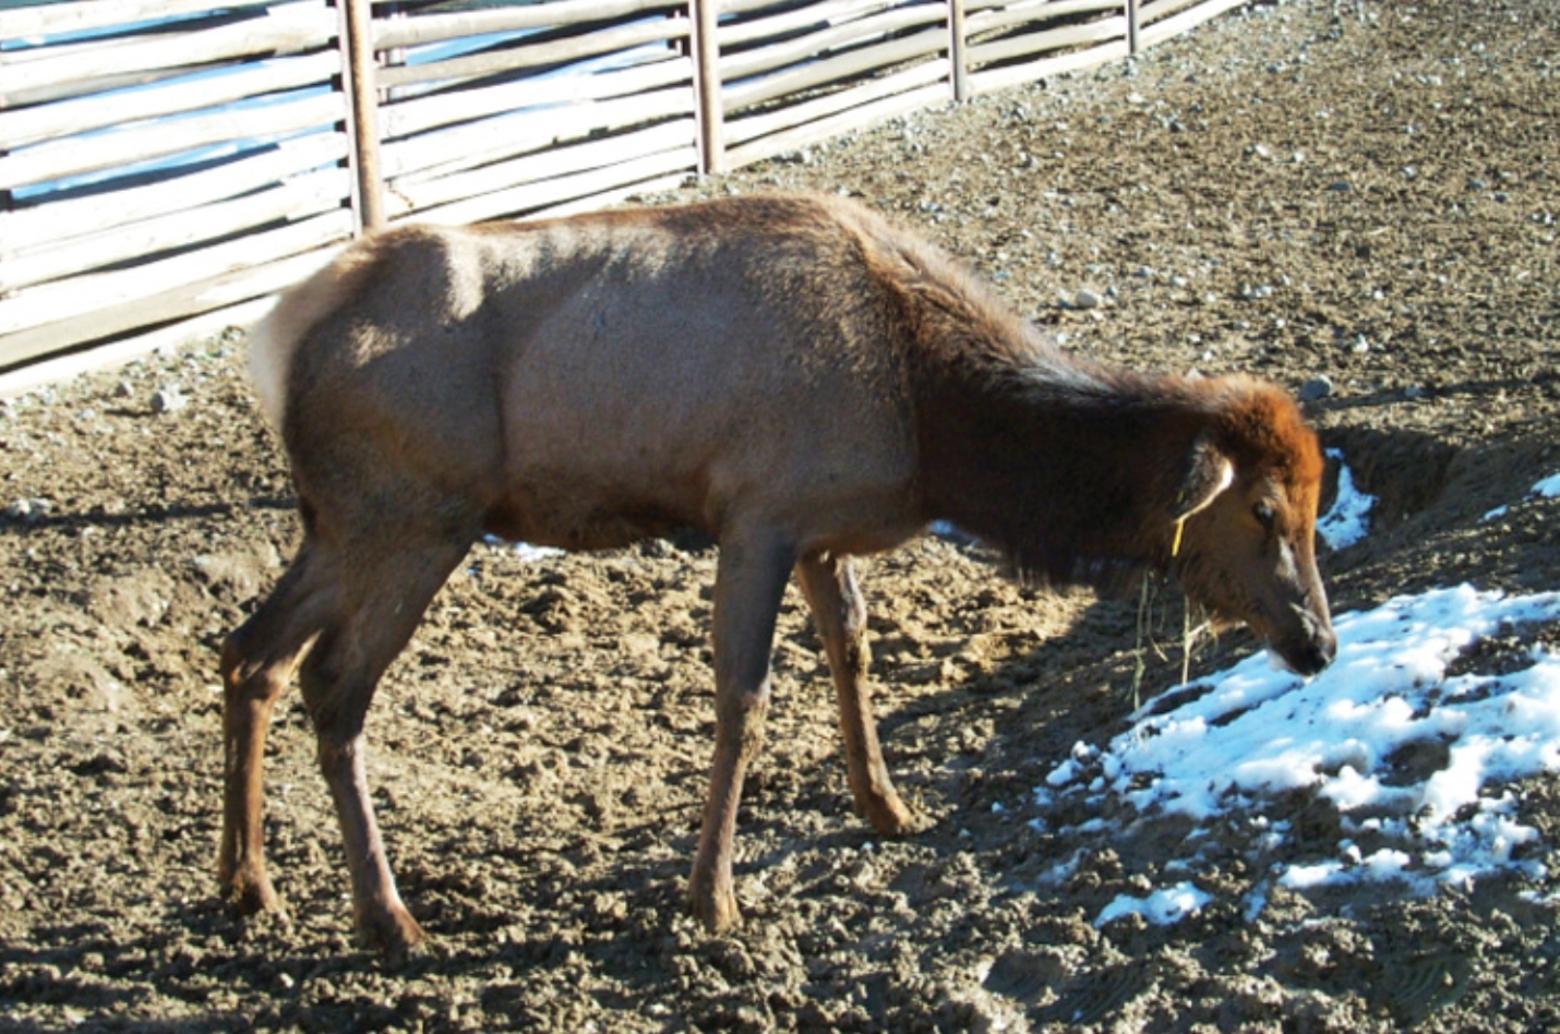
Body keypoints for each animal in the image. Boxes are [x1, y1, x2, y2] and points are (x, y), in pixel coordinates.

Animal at [219, 191, 1335, 954]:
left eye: (1318, 504)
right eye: (1263, 509)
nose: (1319, 642)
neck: (933, 423)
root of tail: (274, 341)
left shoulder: (821, 533)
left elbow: (854, 654)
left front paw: (887, 806)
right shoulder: (755, 513)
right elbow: (745, 697)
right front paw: (711, 894)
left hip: (339, 525)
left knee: (248, 653)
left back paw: (248, 882)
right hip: (415, 517)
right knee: (333, 684)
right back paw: (389, 917)